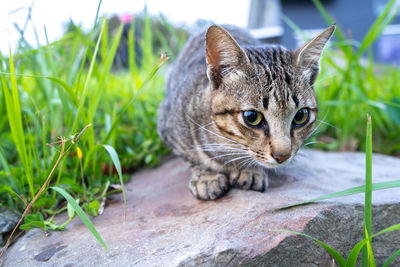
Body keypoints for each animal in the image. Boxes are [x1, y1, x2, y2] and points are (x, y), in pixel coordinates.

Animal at [157, 24, 334, 201]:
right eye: (252, 117)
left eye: (300, 116)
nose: (283, 156)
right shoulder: (167, 125)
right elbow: (193, 156)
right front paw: (206, 176)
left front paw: (249, 170)